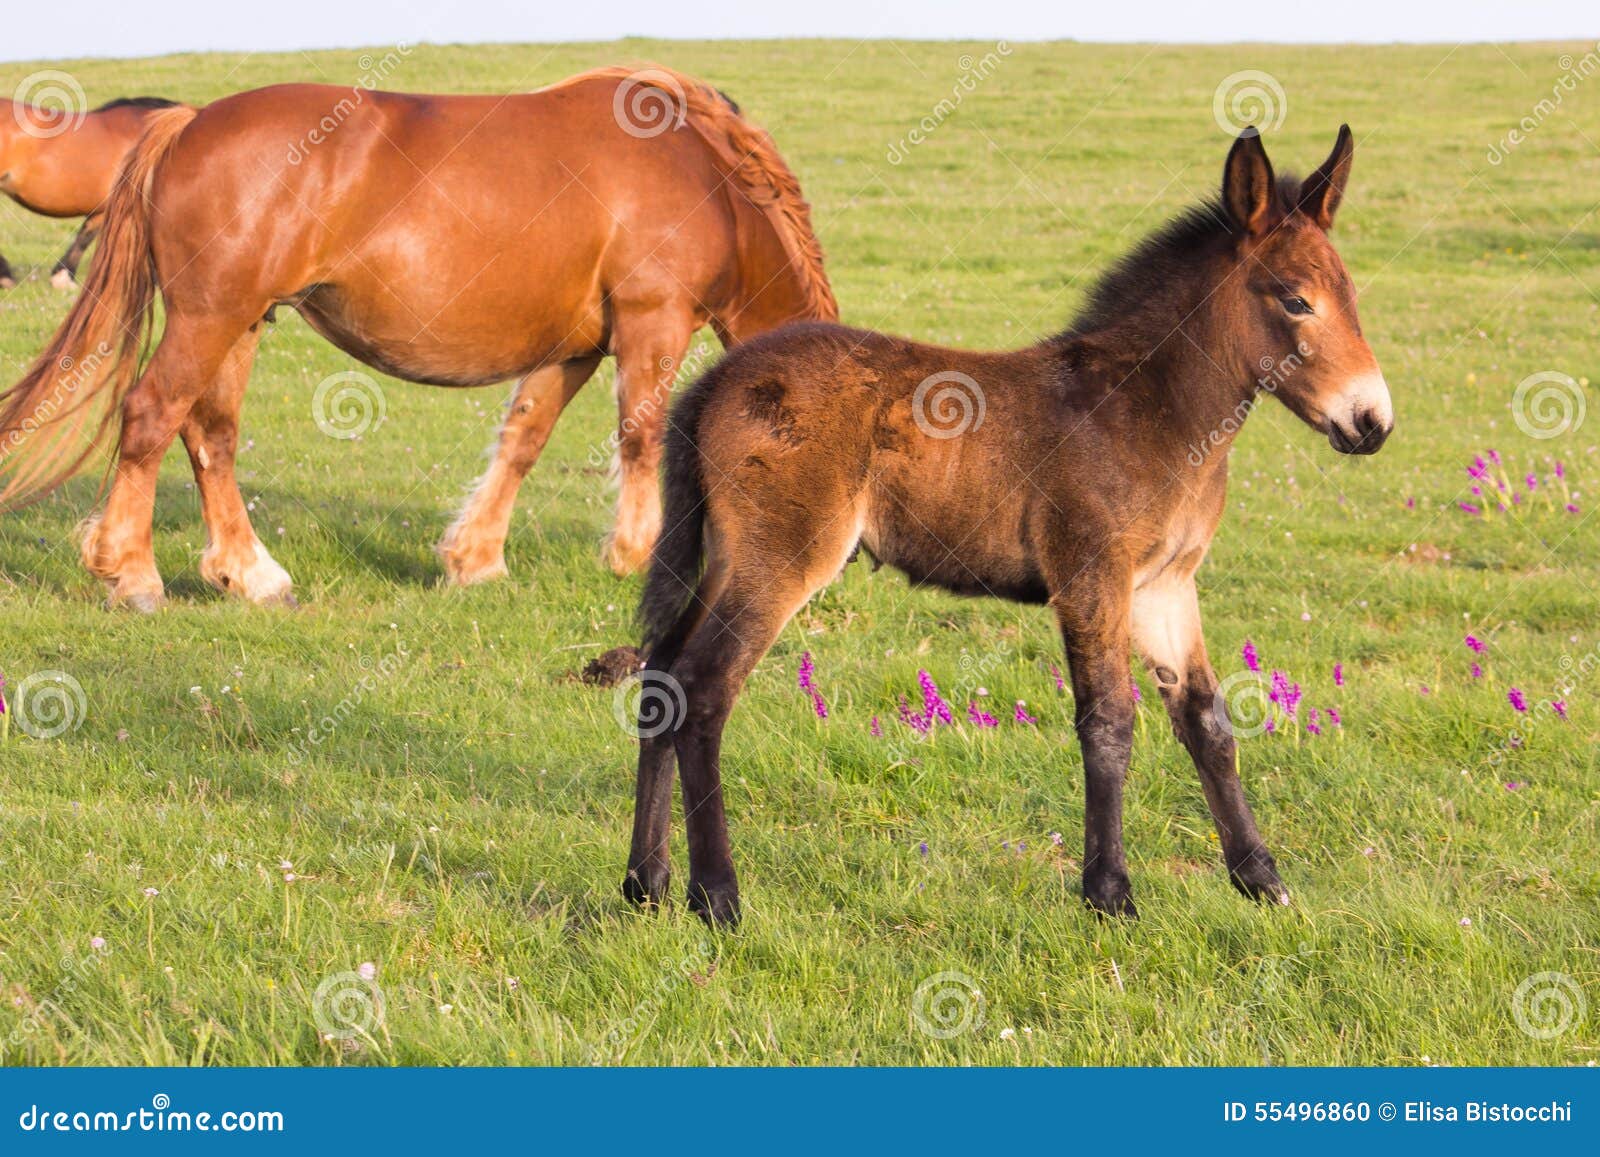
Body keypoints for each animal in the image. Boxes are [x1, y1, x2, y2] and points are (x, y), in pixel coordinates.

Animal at [624, 126, 1388, 928]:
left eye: (1350, 296)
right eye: (1297, 300)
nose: (1372, 421)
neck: (1150, 408)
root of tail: (717, 379)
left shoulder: (1166, 585)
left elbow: (1205, 720)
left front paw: (1260, 878)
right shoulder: (1091, 575)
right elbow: (1109, 721)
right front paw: (1109, 893)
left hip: (728, 556)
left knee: (661, 674)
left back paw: (647, 882)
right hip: (783, 557)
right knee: (705, 689)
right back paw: (717, 894)